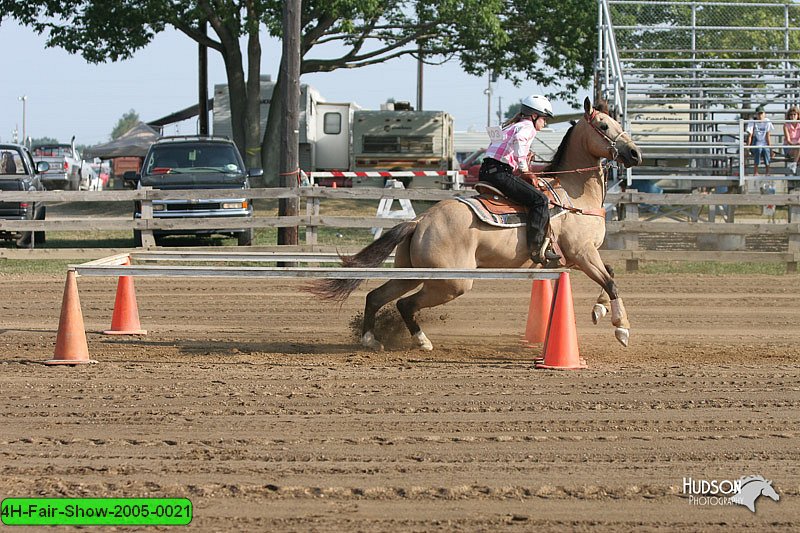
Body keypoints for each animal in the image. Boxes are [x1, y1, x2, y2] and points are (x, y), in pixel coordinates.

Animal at [310, 97, 640, 352]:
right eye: (603, 126)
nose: (635, 154)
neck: (573, 193)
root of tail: (420, 220)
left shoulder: (580, 257)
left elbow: (610, 274)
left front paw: (599, 310)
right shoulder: (582, 253)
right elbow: (611, 281)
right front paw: (621, 328)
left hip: (415, 273)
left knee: (376, 296)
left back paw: (372, 339)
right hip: (452, 282)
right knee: (405, 304)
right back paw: (420, 341)